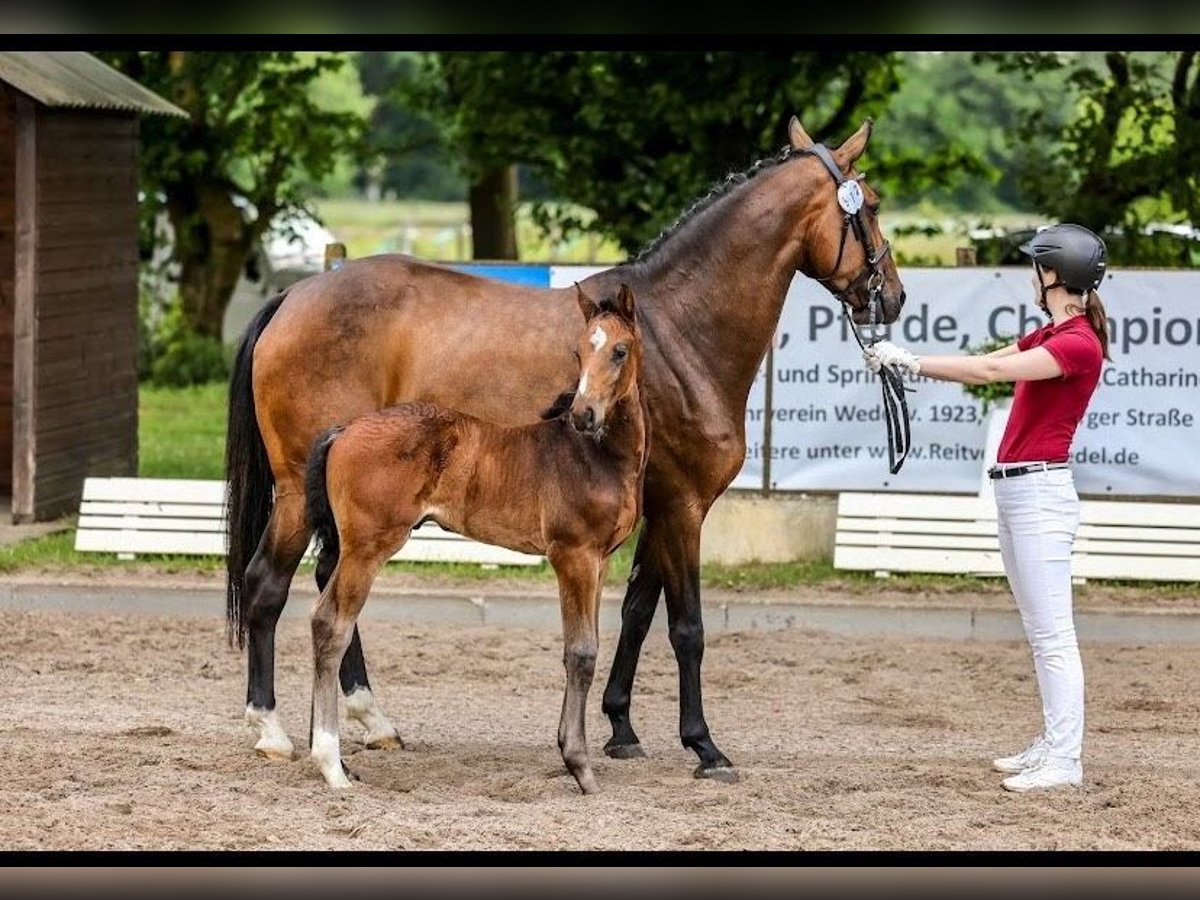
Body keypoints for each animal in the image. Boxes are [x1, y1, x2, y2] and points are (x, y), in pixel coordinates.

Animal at [304, 285, 652, 792]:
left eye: (619, 350)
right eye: (579, 351)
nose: (583, 414)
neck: (598, 455)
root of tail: (346, 428)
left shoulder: (601, 560)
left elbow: (581, 652)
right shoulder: (574, 556)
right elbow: (581, 653)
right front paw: (581, 768)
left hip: (355, 548)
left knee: (321, 619)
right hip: (368, 547)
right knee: (332, 625)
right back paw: (332, 765)